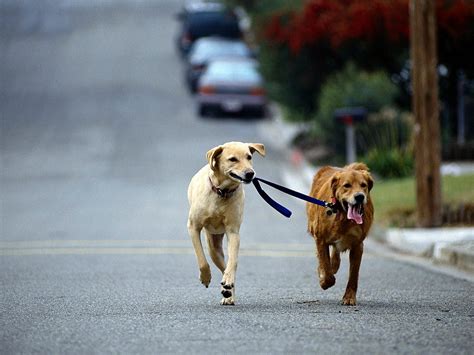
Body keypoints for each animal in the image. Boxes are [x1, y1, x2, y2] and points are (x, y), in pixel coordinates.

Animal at [187, 142, 264, 306]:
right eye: (232, 159)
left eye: (249, 157)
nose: (250, 173)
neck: (222, 192)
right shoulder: (193, 227)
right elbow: (201, 259)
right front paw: (205, 277)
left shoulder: (233, 231)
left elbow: (233, 261)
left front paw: (228, 282)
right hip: (213, 248)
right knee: (218, 263)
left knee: (227, 267)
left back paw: (228, 291)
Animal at [308, 163, 374, 306]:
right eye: (347, 185)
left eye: (363, 185)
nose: (359, 196)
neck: (343, 217)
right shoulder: (320, 239)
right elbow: (326, 269)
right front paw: (324, 281)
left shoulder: (358, 245)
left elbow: (353, 275)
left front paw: (349, 297)